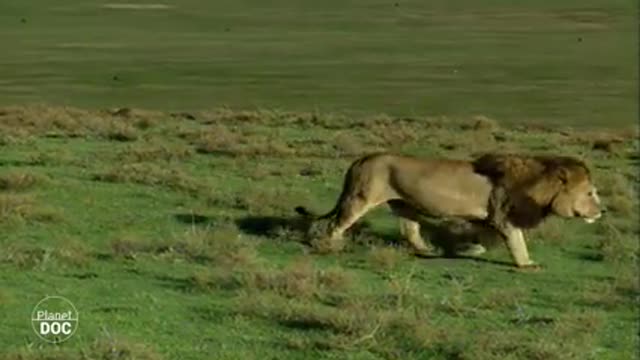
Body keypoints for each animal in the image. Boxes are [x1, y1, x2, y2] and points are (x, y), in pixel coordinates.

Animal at [296, 152, 604, 268]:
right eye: (590, 193)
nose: (601, 211)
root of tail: (362, 158)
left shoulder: (489, 218)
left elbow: (486, 239)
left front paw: (470, 249)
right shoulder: (504, 217)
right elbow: (518, 242)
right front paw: (527, 264)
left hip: (404, 204)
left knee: (410, 230)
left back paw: (427, 250)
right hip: (361, 197)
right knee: (337, 224)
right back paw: (333, 246)